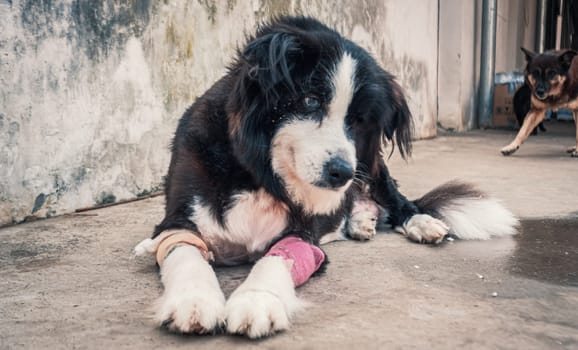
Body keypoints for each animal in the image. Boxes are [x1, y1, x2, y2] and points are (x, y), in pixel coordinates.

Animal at [136, 17, 516, 340]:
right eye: (309, 100)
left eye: (359, 119)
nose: (341, 173)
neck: (258, 175)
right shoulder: (178, 220)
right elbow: (184, 254)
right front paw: (193, 299)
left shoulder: (303, 232)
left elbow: (277, 259)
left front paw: (257, 300)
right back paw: (360, 221)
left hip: (372, 165)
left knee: (395, 199)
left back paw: (418, 221)